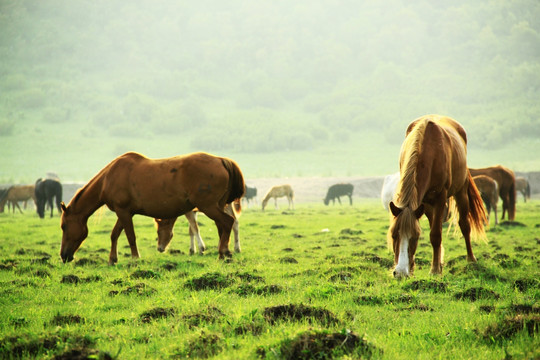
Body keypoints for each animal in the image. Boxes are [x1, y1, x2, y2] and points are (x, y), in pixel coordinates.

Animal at [60, 150, 244, 262]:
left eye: (64, 226)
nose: (63, 255)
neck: (109, 178)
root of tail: (221, 160)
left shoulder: (123, 212)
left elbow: (130, 236)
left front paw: (135, 258)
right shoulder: (125, 212)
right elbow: (114, 234)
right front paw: (113, 259)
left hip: (209, 207)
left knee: (228, 222)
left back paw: (222, 252)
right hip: (217, 206)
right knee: (223, 226)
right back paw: (225, 252)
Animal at [388, 114, 486, 278]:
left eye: (415, 237)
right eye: (394, 235)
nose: (400, 272)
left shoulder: (440, 197)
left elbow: (435, 235)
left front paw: (434, 270)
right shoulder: (424, 202)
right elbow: (433, 232)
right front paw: (426, 267)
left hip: (461, 192)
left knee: (464, 225)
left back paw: (471, 259)